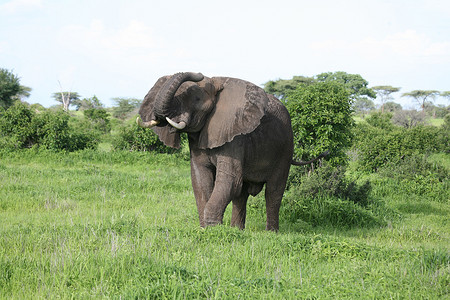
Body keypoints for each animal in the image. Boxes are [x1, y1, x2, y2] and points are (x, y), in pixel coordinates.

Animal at [138, 71, 326, 231]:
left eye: (197, 99)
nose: (199, 73)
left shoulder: (235, 136)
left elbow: (229, 181)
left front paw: (213, 229)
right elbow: (200, 180)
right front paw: (205, 229)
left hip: (285, 149)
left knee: (273, 192)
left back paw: (271, 233)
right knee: (241, 195)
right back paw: (237, 230)